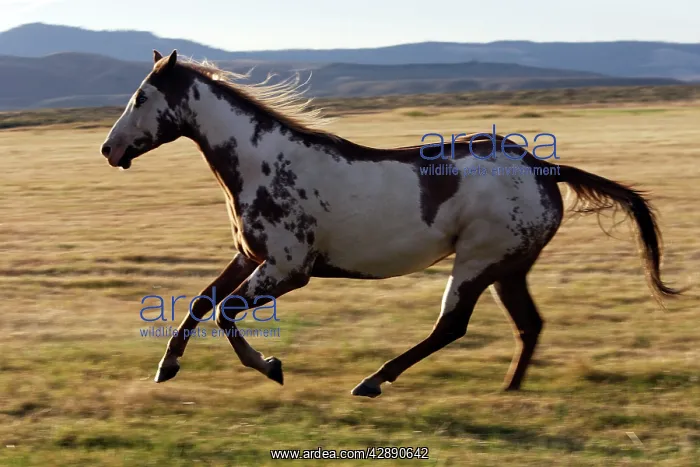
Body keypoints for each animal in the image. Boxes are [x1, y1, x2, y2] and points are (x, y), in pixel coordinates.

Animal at [100, 50, 680, 398]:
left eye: (141, 97)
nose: (109, 149)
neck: (264, 162)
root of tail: (542, 166)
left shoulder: (289, 268)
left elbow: (225, 313)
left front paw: (272, 367)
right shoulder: (250, 255)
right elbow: (202, 302)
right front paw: (166, 368)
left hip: (479, 260)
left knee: (452, 325)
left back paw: (373, 381)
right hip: (510, 267)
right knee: (528, 324)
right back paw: (509, 389)